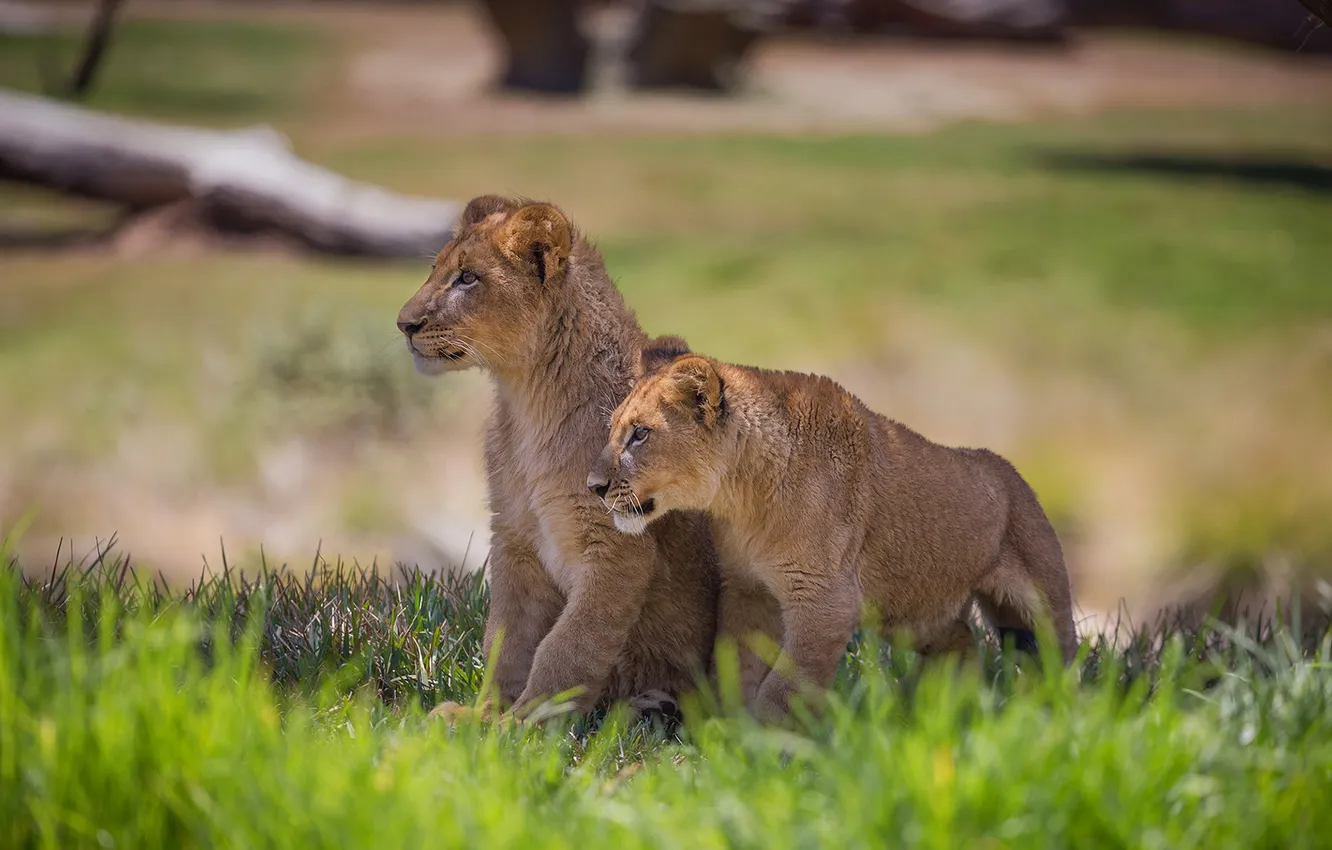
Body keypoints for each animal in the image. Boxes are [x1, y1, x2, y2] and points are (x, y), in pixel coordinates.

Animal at [396, 196, 719, 724]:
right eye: (435, 270)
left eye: (468, 278)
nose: (404, 325)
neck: (527, 401)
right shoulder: (513, 535)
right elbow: (506, 638)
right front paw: (482, 715)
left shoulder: (618, 544)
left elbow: (568, 646)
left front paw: (522, 725)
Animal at [587, 340, 1079, 721]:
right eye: (613, 431)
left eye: (640, 434)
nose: (593, 486)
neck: (741, 499)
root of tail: (1009, 471)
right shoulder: (747, 589)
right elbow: (735, 669)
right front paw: (727, 734)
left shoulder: (826, 601)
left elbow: (783, 688)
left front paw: (763, 751)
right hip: (908, 610)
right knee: (963, 638)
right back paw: (943, 706)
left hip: (1040, 597)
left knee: (1063, 657)